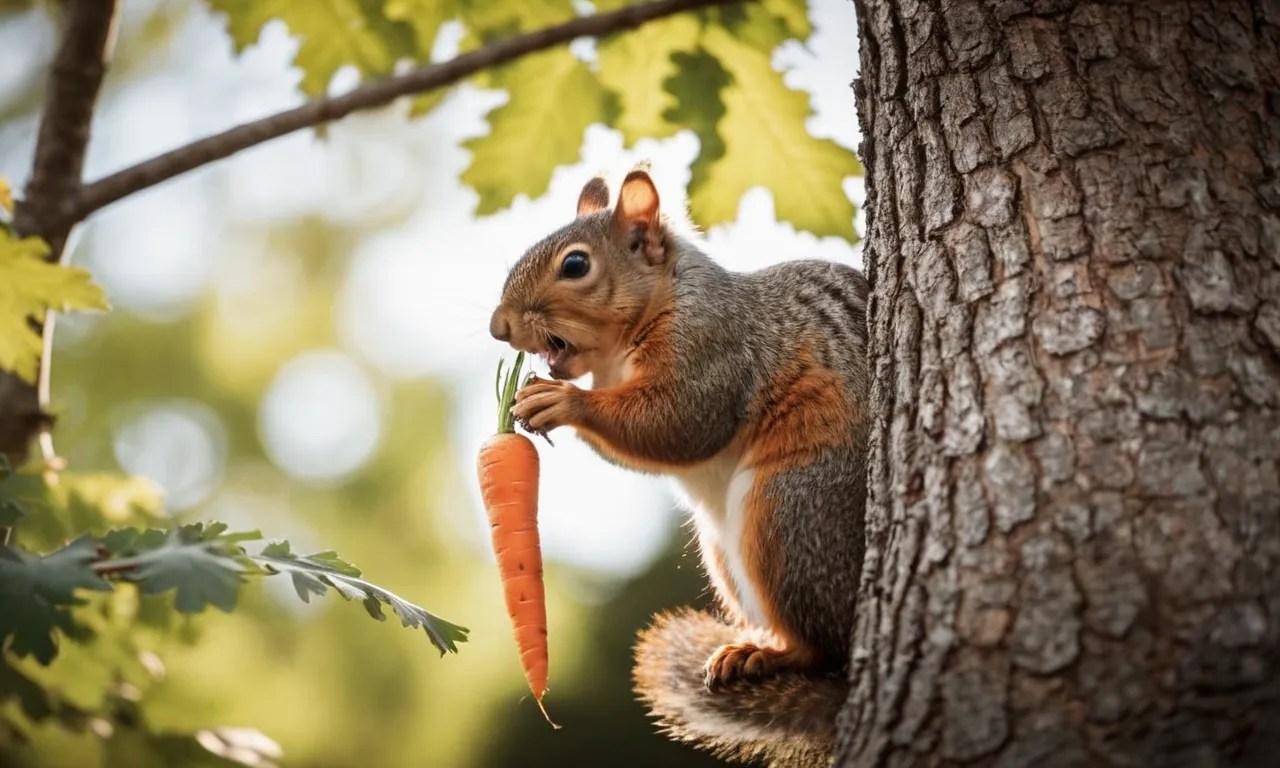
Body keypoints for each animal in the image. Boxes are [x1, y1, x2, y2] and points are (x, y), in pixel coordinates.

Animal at [488, 167, 869, 768]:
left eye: (575, 266)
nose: (497, 327)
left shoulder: (713, 347)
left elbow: (680, 422)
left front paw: (563, 402)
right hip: (724, 550)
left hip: (792, 512)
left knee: (823, 645)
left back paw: (773, 655)